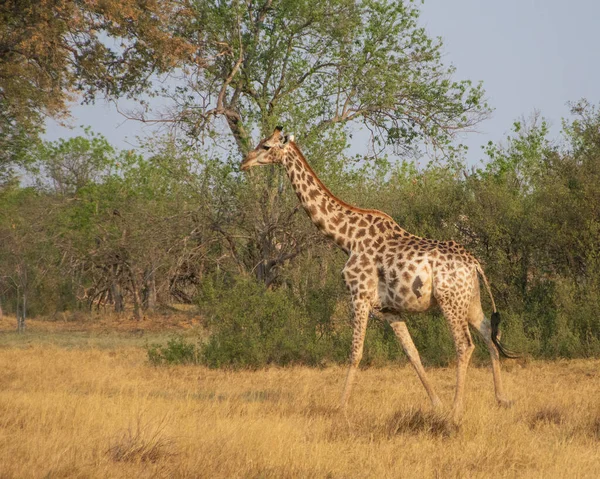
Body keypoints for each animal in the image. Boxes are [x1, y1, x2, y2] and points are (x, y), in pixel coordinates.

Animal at [240, 126, 516, 424]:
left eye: (266, 146)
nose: (244, 162)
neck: (347, 238)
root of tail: (475, 263)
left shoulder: (359, 298)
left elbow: (355, 353)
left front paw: (340, 408)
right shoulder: (389, 309)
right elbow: (412, 353)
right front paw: (436, 403)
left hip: (450, 302)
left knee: (464, 345)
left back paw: (456, 411)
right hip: (470, 301)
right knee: (489, 332)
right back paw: (501, 399)